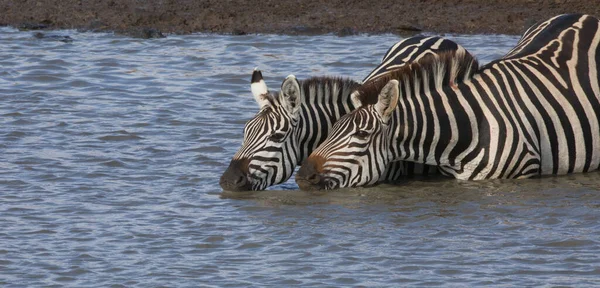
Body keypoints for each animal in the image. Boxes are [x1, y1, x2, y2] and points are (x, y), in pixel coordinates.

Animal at [298, 14, 600, 191]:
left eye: (361, 135)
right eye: (331, 129)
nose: (302, 176)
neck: (468, 128)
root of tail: (584, 15)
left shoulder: (523, 175)